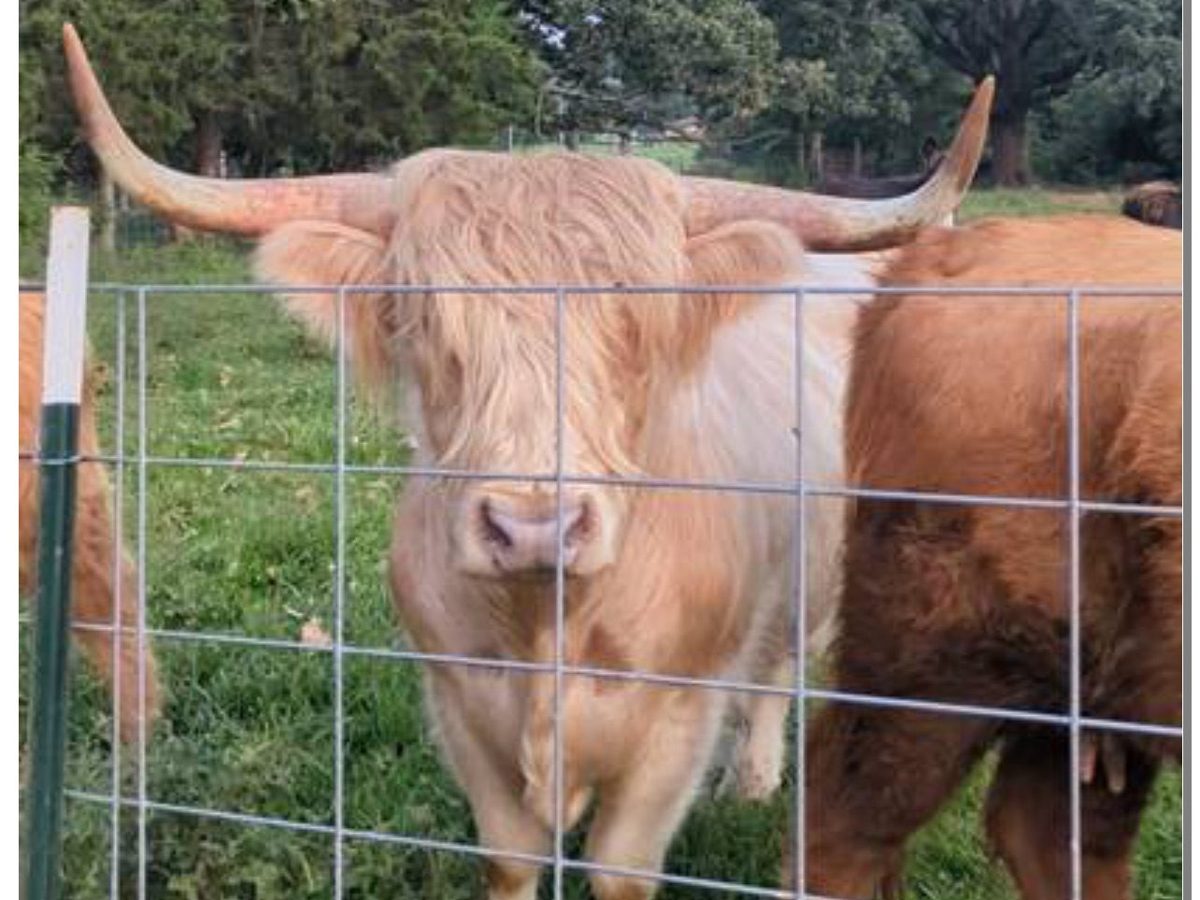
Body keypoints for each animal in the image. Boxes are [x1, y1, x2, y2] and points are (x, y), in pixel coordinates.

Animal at [62, 24, 992, 899]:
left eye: (645, 321)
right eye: (421, 315)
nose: (534, 526)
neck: (549, 622)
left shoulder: (675, 724)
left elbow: (621, 867)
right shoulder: (461, 709)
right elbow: (509, 861)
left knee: (777, 666)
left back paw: (755, 780)